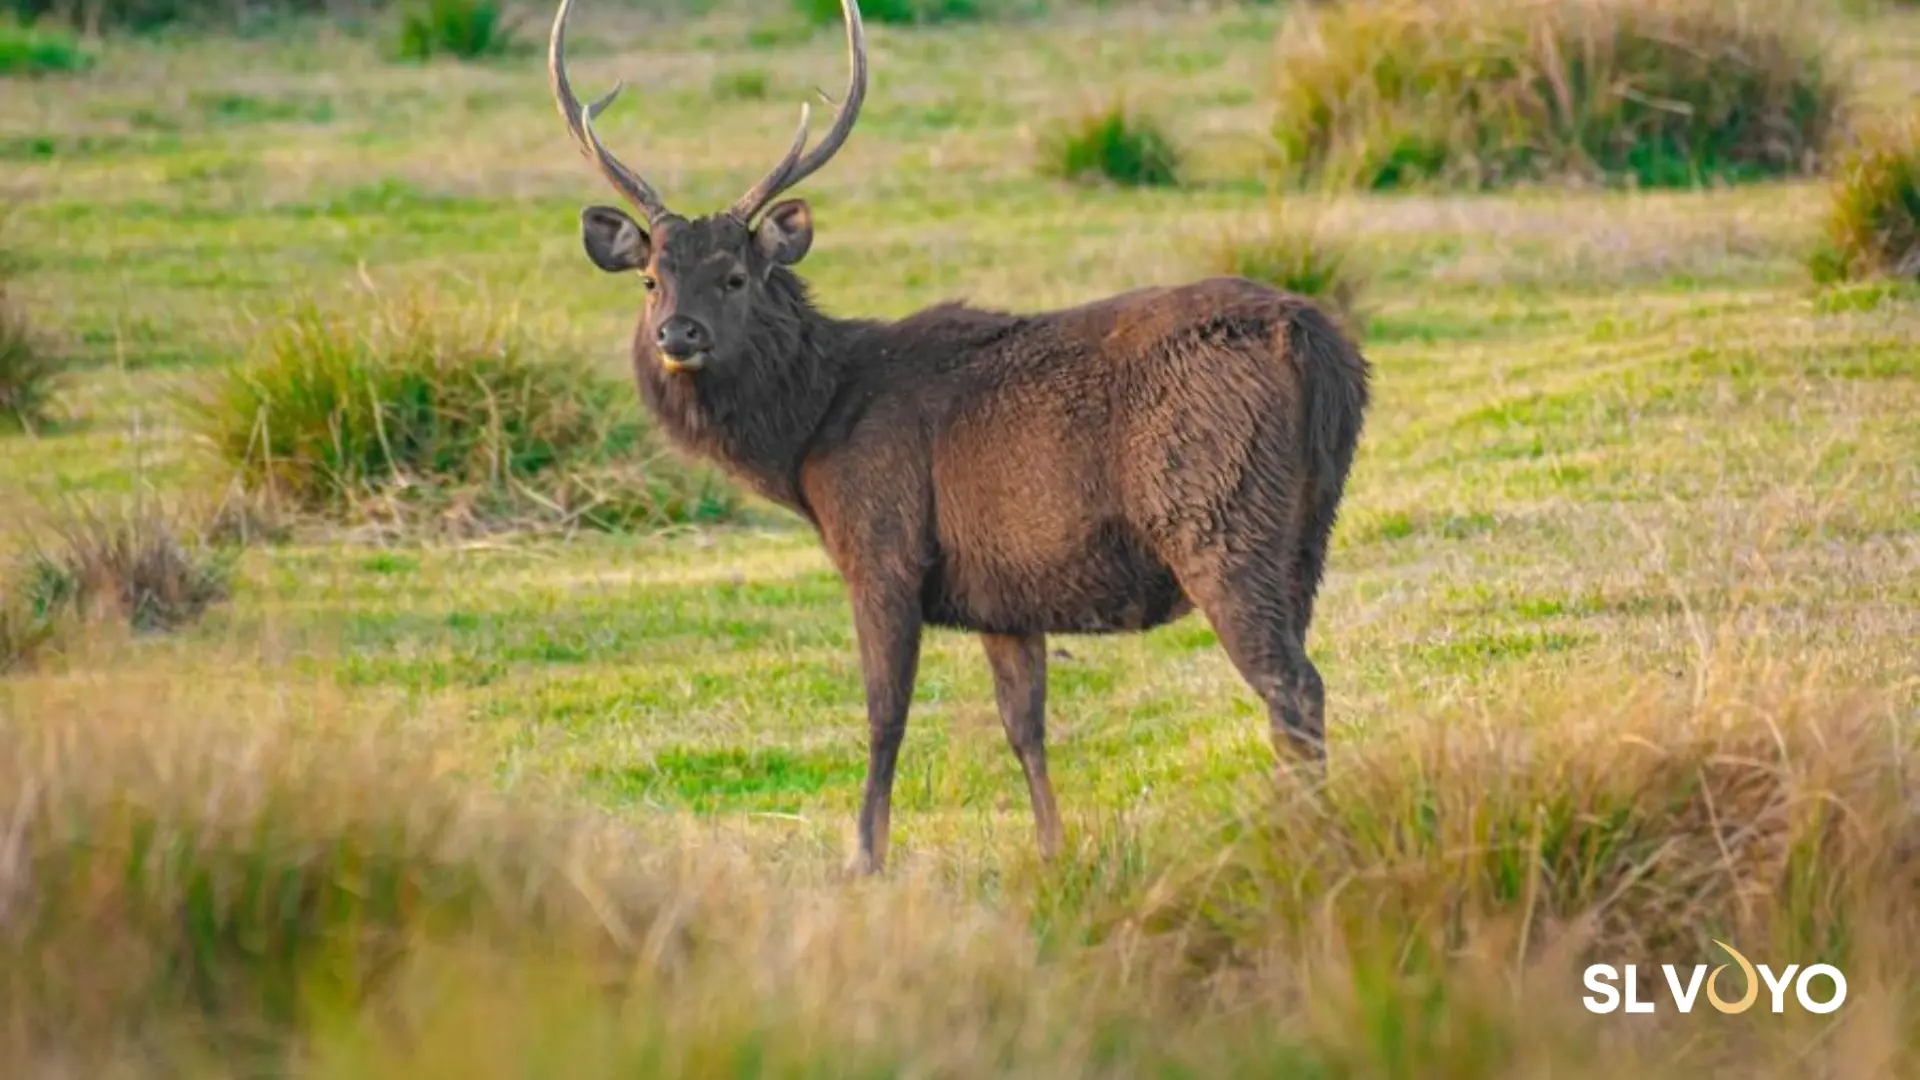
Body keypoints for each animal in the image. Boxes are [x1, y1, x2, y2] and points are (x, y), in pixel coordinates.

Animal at [547, 0, 1371, 874]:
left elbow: (884, 715)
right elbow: (1024, 726)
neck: (812, 437)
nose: (679, 334)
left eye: (735, 277)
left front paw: (864, 856)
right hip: (1308, 529)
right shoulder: (1004, 592)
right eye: (651, 278)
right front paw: (1052, 849)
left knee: (1292, 684)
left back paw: (1305, 840)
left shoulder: (883, 547)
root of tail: (1319, 347)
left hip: (1218, 516)